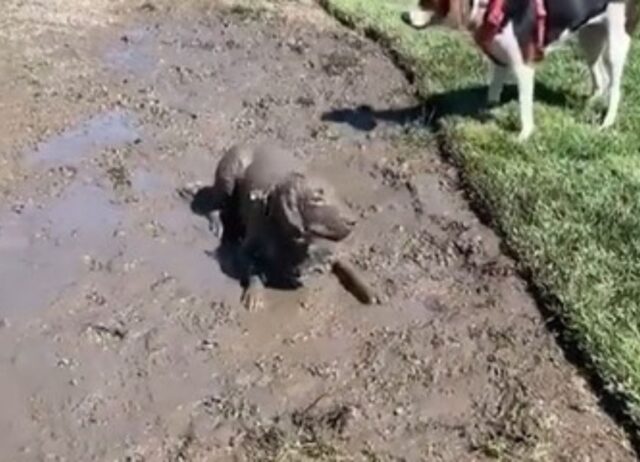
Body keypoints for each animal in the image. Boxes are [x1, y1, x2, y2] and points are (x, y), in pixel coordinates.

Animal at [185, 143, 376, 310]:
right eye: (316, 199)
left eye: (336, 193)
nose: (353, 221)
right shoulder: (248, 247)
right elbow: (253, 267)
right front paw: (255, 295)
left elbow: (346, 266)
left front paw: (369, 290)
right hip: (230, 174)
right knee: (216, 203)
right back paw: (217, 224)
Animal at [402, 0, 636, 141]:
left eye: (428, 1)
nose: (403, 16)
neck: (487, 8)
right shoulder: (499, 62)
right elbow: (493, 93)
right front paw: (488, 111)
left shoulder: (523, 68)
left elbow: (524, 106)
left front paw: (524, 135)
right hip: (590, 39)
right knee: (601, 79)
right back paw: (589, 103)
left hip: (615, 44)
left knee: (615, 89)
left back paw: (607, 122)